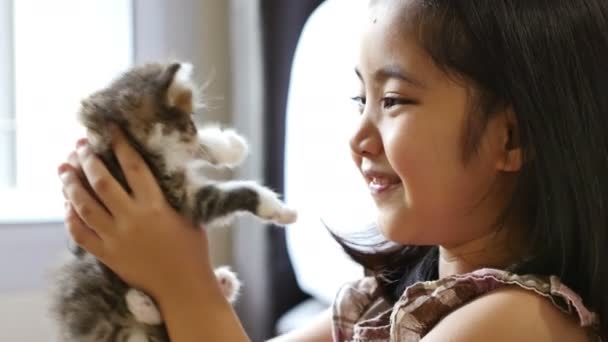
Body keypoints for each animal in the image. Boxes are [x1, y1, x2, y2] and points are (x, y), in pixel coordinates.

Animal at [51, 62, 298, 342]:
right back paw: (142, 304)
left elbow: (196, 149)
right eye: (189, 117)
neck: (137, 147)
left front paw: (230, 146)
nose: (195, 128)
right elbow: (238, 192)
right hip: (95, 282)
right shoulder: (187, 200)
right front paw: (277, 209)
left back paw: (221, 283)